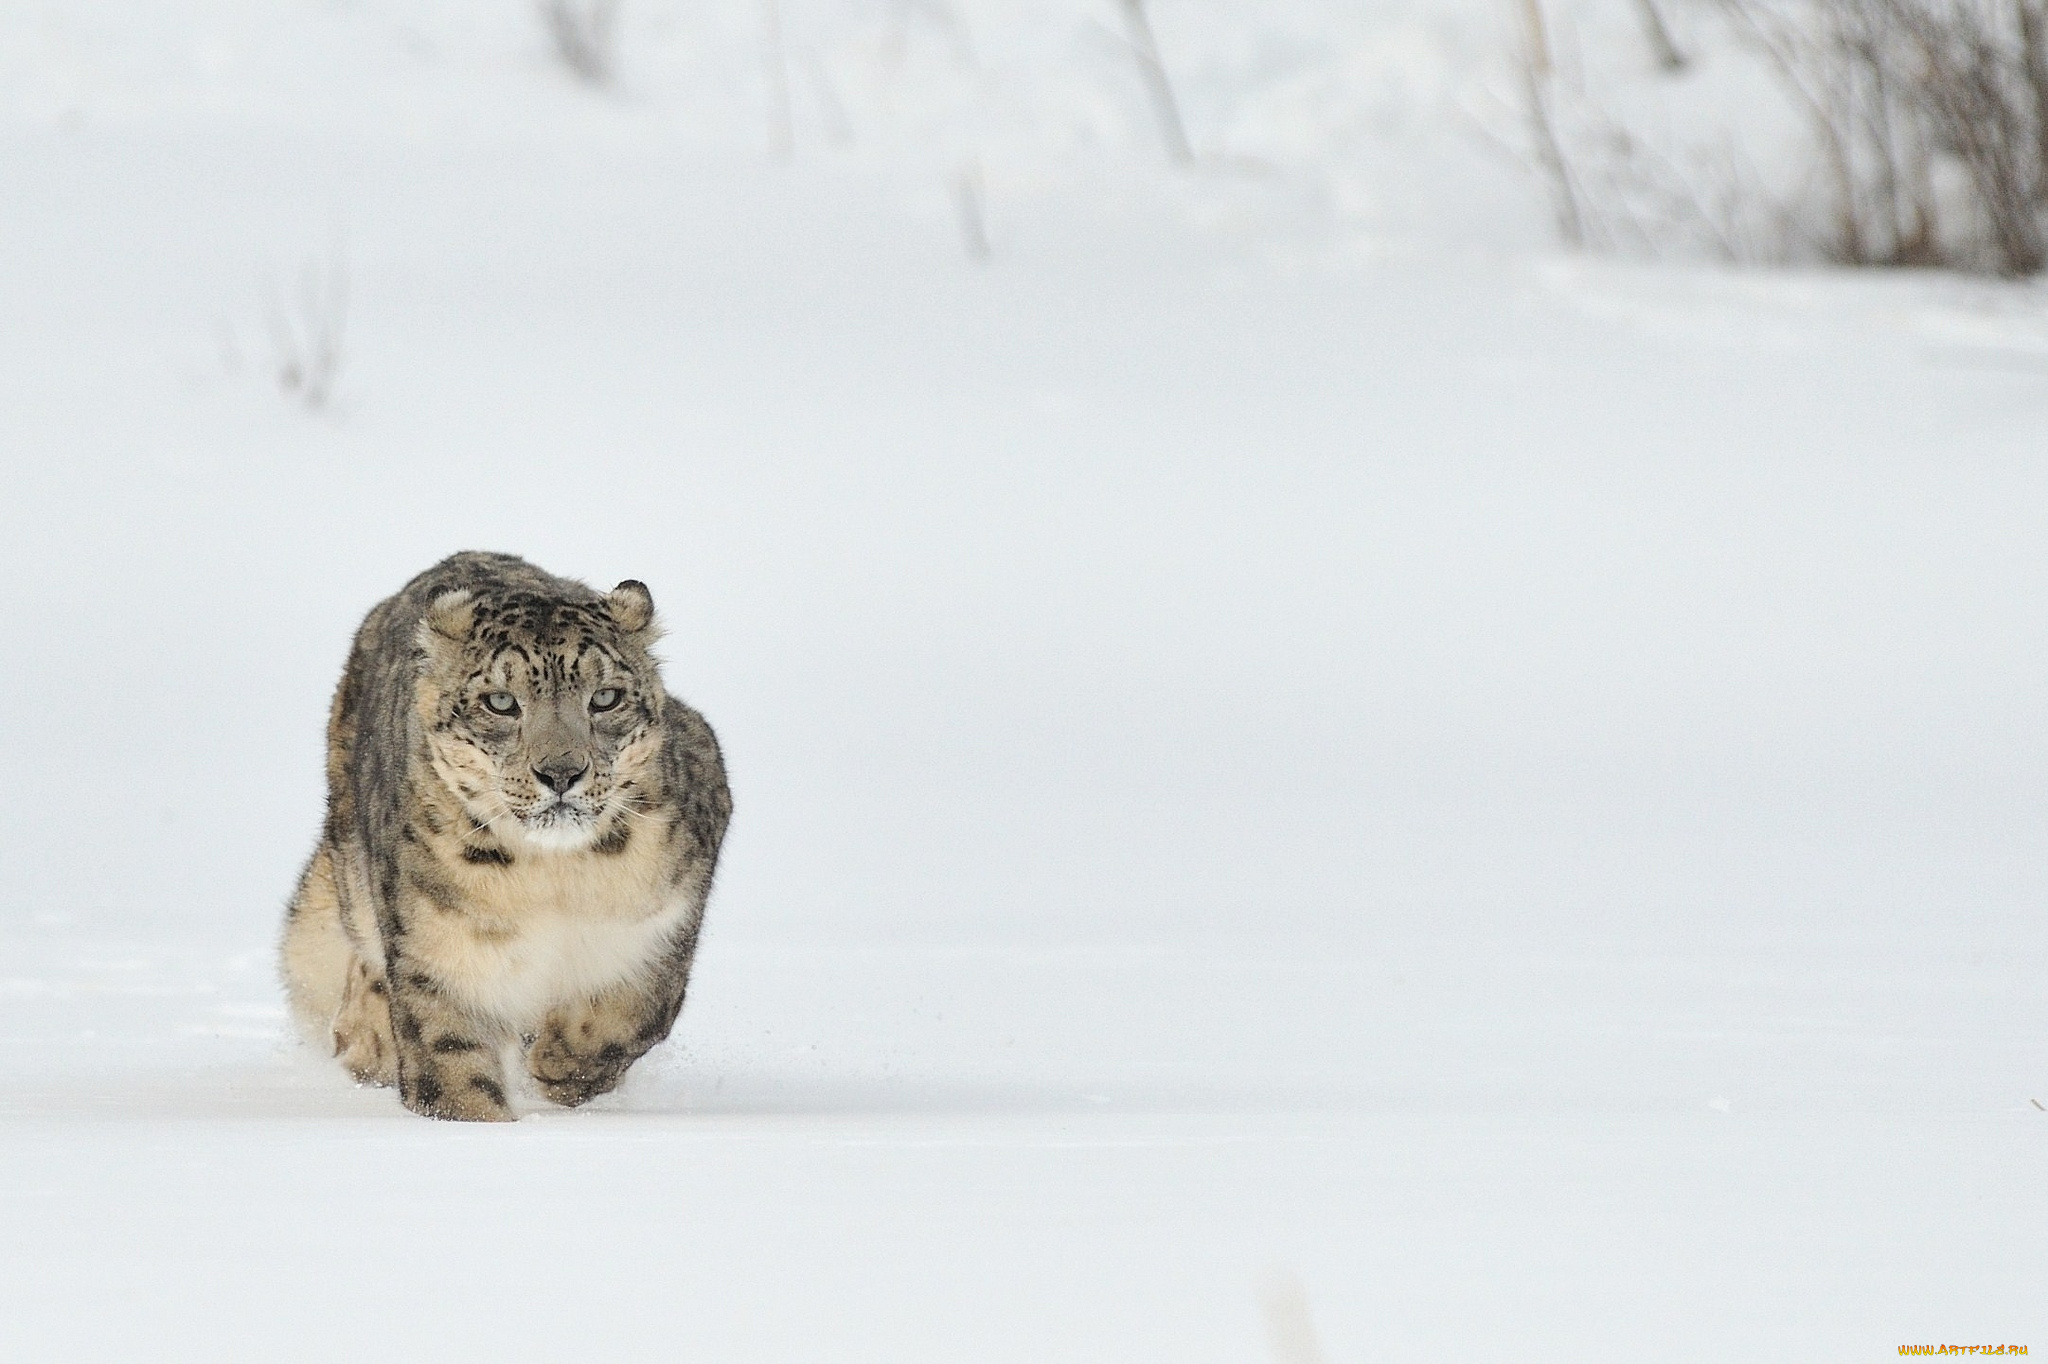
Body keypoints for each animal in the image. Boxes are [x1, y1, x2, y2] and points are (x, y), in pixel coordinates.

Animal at [276, 548, 733, 1114]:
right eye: (500, 702)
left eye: (605, 697)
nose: (561, 772)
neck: (553, 881)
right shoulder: (440, 952)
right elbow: (452, 1068)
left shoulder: (668, 913)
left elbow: (641, 1004)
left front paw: (561, 1061)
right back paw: (366, 1036)